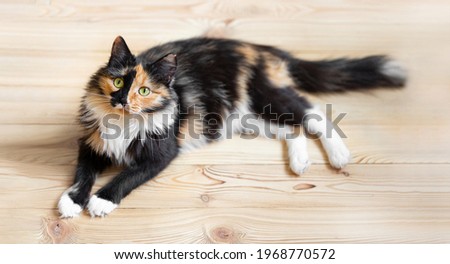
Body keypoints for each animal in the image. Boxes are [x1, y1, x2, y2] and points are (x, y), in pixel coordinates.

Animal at [57, 36, 404, 218]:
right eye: (117, 82)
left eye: (144, 91)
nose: (122, 100)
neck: (124, 123)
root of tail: (263, 49)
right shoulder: (91, 143)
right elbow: (83, 174)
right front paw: (72, 202)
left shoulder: (161, 153)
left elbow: (128, 176)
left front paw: (100, 201)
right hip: (248, 117)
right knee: (293, 129)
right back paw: (300, 162)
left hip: (264, 98)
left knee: (313, 112)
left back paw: (339, 156)